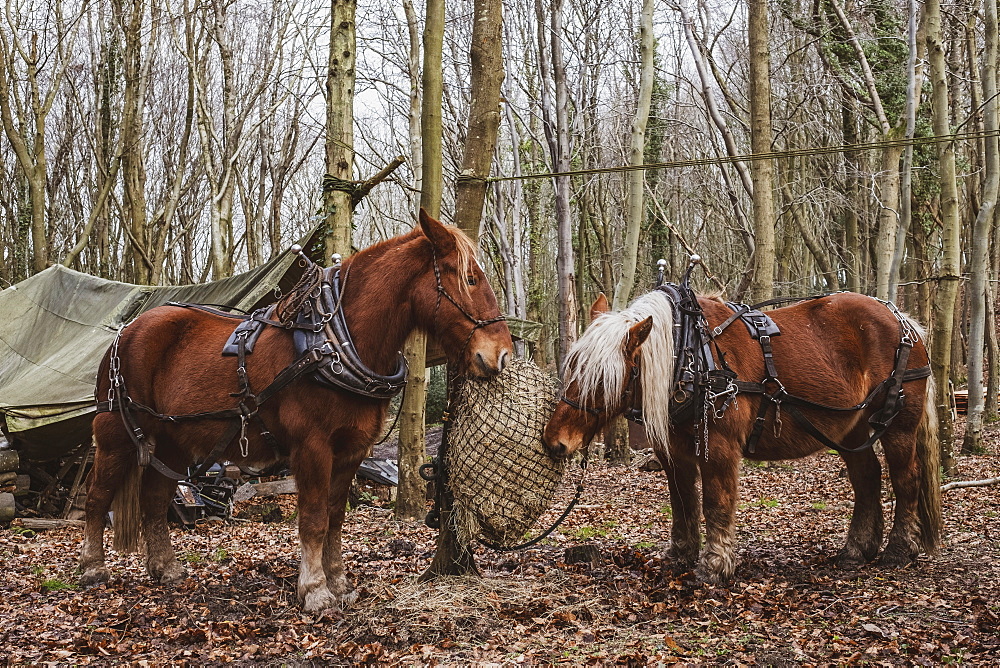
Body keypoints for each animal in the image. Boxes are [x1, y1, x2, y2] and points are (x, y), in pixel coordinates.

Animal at [81, 211, 512, 612]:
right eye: (470, 279)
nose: (501, 355)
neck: (334, 343)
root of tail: (126, 331)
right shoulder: (312, 447)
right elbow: (315, 518)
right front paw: (315, 590)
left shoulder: (352, 451)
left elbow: (336, 518)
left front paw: (339, 583)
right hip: (116, 434)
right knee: (98, 497)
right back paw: (93, 567)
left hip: (172, 442)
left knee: (154, 500)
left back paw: (165, 568)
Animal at [544, 280, 940, 584]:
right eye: (572, 366)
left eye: (601, 379)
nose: (554, 442)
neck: (690, 355)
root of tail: (905, 322)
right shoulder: (675, 451)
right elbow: (682, 501)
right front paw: (681, 554)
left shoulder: (719, 447)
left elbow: (715, 502)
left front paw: (715, 565)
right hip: (850, 429)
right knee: (867, 477)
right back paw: (857, 550)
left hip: (898, 427)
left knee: (906, 479)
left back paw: (899, 550)